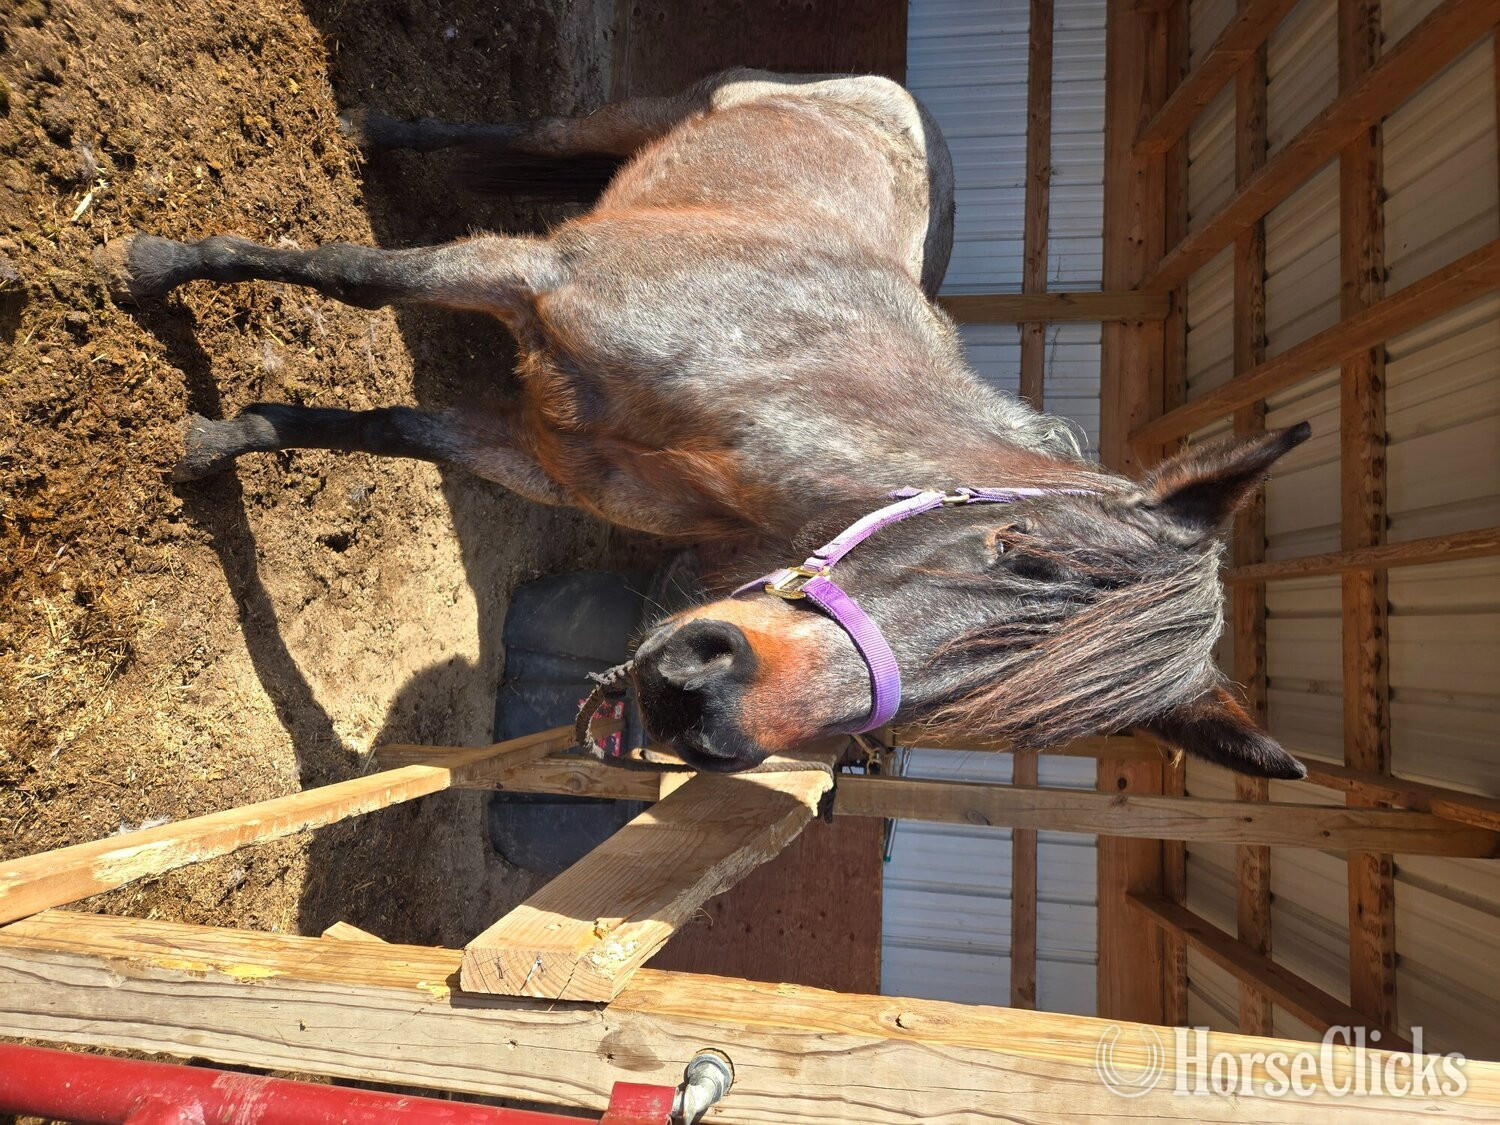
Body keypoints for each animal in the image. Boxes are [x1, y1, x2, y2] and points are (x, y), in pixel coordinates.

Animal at [94, 68, 1310, 781]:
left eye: (1001, 724)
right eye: (1023, 552)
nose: (699, 705)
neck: (765, 392)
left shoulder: (538, 458)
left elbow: (387, 427)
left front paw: (220, 442)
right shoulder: (527, 272)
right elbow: (346, 276)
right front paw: (151, 268)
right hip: (626, 117)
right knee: (517, 131)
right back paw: (367, 126)